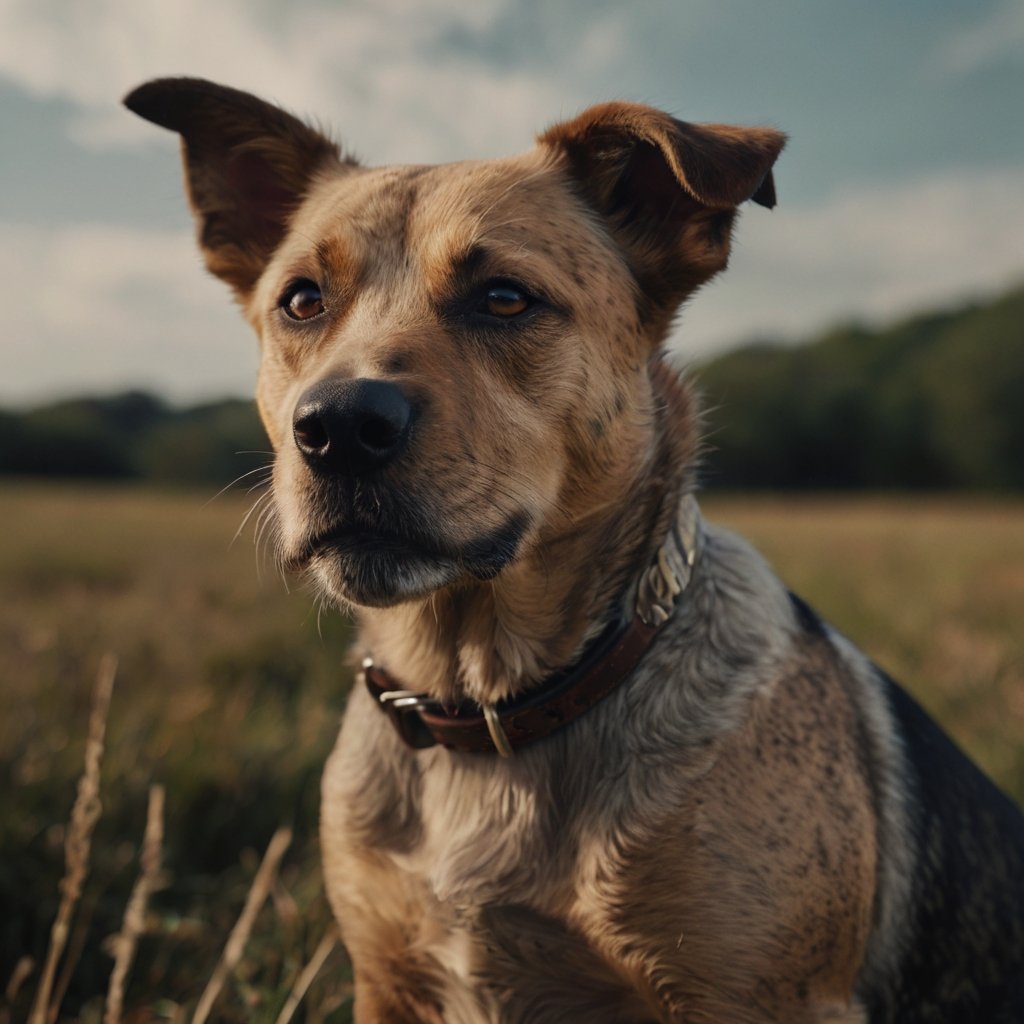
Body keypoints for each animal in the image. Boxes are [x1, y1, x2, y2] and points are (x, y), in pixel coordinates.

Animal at [125, 75, 1024, 1019]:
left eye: (505, 297)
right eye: (302, 301)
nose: (335, 428)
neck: (489, 704)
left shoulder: (761, 997)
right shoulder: (388, 979)